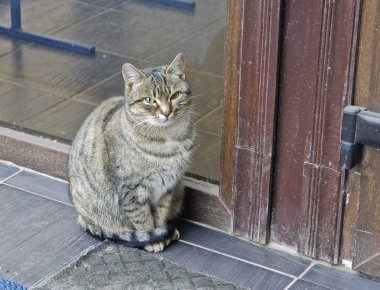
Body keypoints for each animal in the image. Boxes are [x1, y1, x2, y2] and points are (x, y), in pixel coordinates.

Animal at [68, 53, 194, 251]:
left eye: (174, 95)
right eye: (149, 100)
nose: (166, 112)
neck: (167, 138)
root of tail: (81, 215)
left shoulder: (168, 186)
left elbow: (161, 213)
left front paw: (162, 233)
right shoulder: (132, 191)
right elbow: (143, 219)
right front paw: (153, 240)